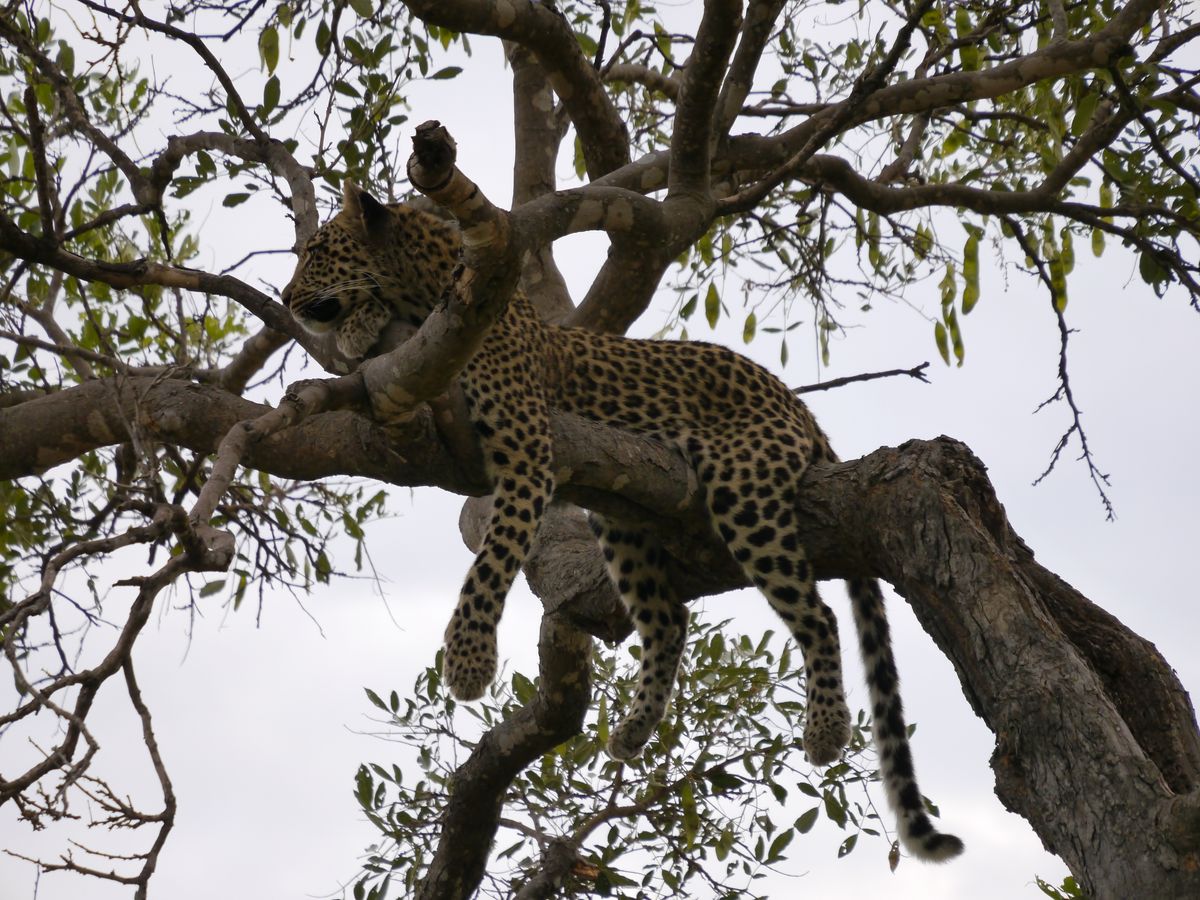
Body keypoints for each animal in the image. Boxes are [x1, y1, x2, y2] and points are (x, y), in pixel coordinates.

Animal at [282, 181, 964, 862]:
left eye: (317, 252)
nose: (287, 300)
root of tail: (798, 405)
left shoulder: (527, 455)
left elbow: (491, 563)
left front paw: (469, 662)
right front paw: (360, 325)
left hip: (743, 491)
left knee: (817, 615)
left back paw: (824, 730)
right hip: (623, 520)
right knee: (668, 619)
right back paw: (634, 730)